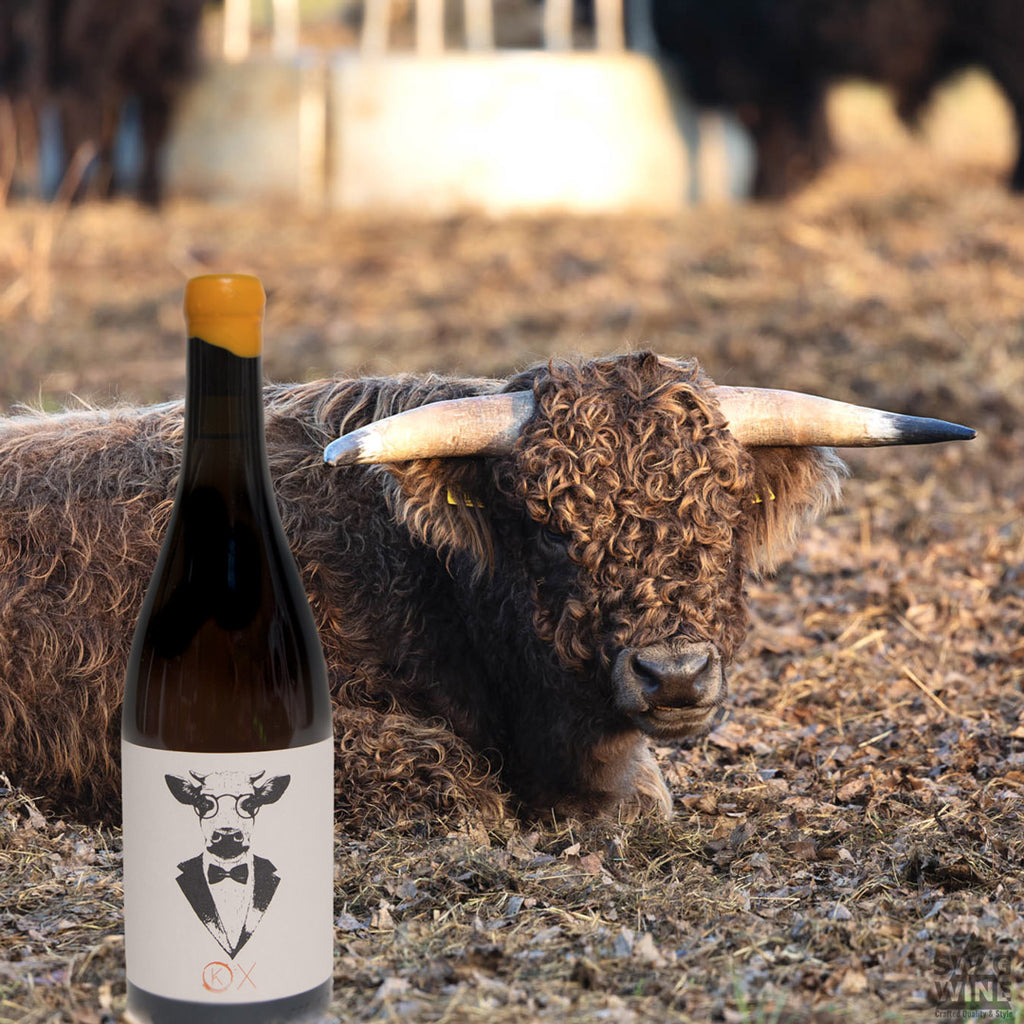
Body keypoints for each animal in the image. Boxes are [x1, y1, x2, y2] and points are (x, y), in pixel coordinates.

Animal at [640, 0, 1024, 198]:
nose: (698, 92)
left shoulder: (761, 63)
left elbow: (779, 126)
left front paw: (777, 189)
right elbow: (810, 115)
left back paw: (1014, 183)